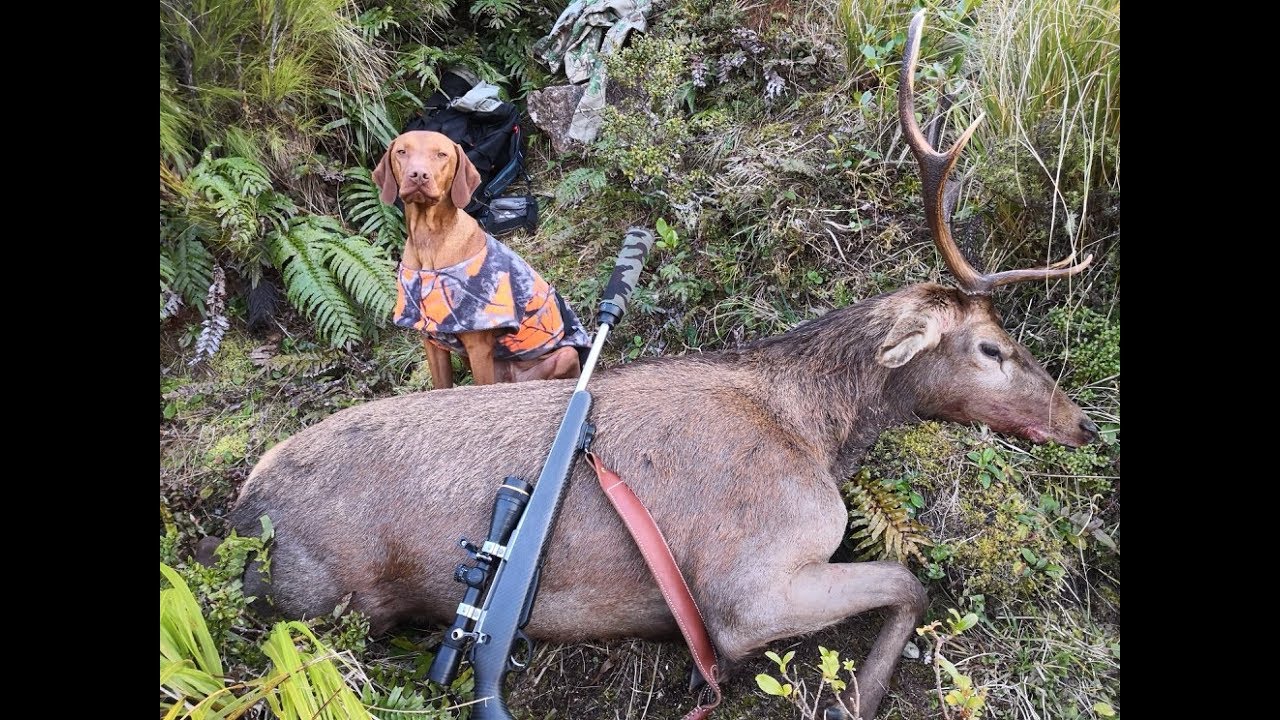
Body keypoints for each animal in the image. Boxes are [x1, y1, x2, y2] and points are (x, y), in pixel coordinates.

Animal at [223, 11, 1098, 719]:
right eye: (992, 348)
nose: (1084, 423)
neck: (817, 434)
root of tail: (233, 515)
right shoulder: (749, 584)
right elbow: (911, 582)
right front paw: (861, 695)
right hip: (319, 601)